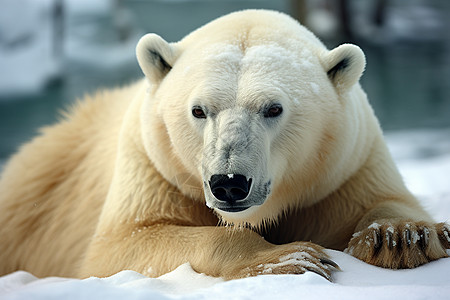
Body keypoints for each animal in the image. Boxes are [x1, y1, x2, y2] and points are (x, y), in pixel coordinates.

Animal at [0, 9, 450, 282]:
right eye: (199, 110)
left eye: (273, 108)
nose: (229, 183)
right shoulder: (152, 165)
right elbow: (124, 246)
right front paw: (291, 257)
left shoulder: (345, 165)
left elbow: (382, 200)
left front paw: (399, 236)